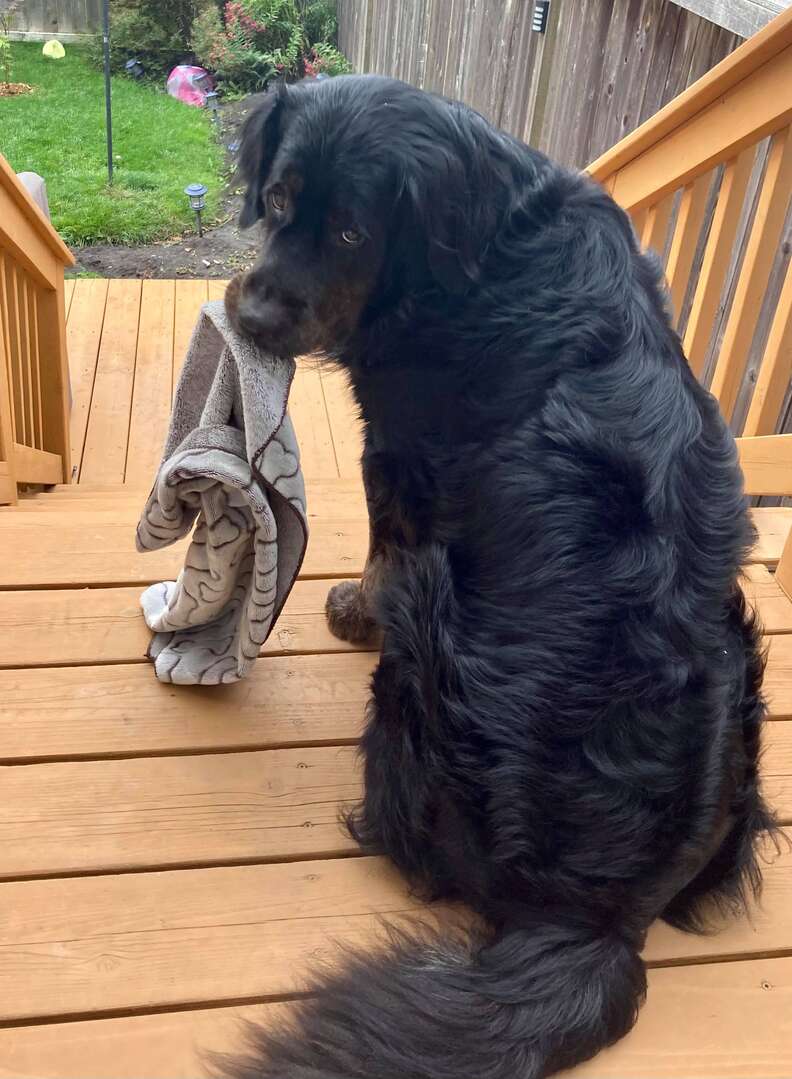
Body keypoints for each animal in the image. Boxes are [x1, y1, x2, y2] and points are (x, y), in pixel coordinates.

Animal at [222, 71, 776, 1074]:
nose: (256, 319)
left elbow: (379, 546)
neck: (487, 244)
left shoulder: (399, 454)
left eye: (354, 233)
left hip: (431, 631)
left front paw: (351, 607)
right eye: (277, 201)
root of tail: (593, 918)